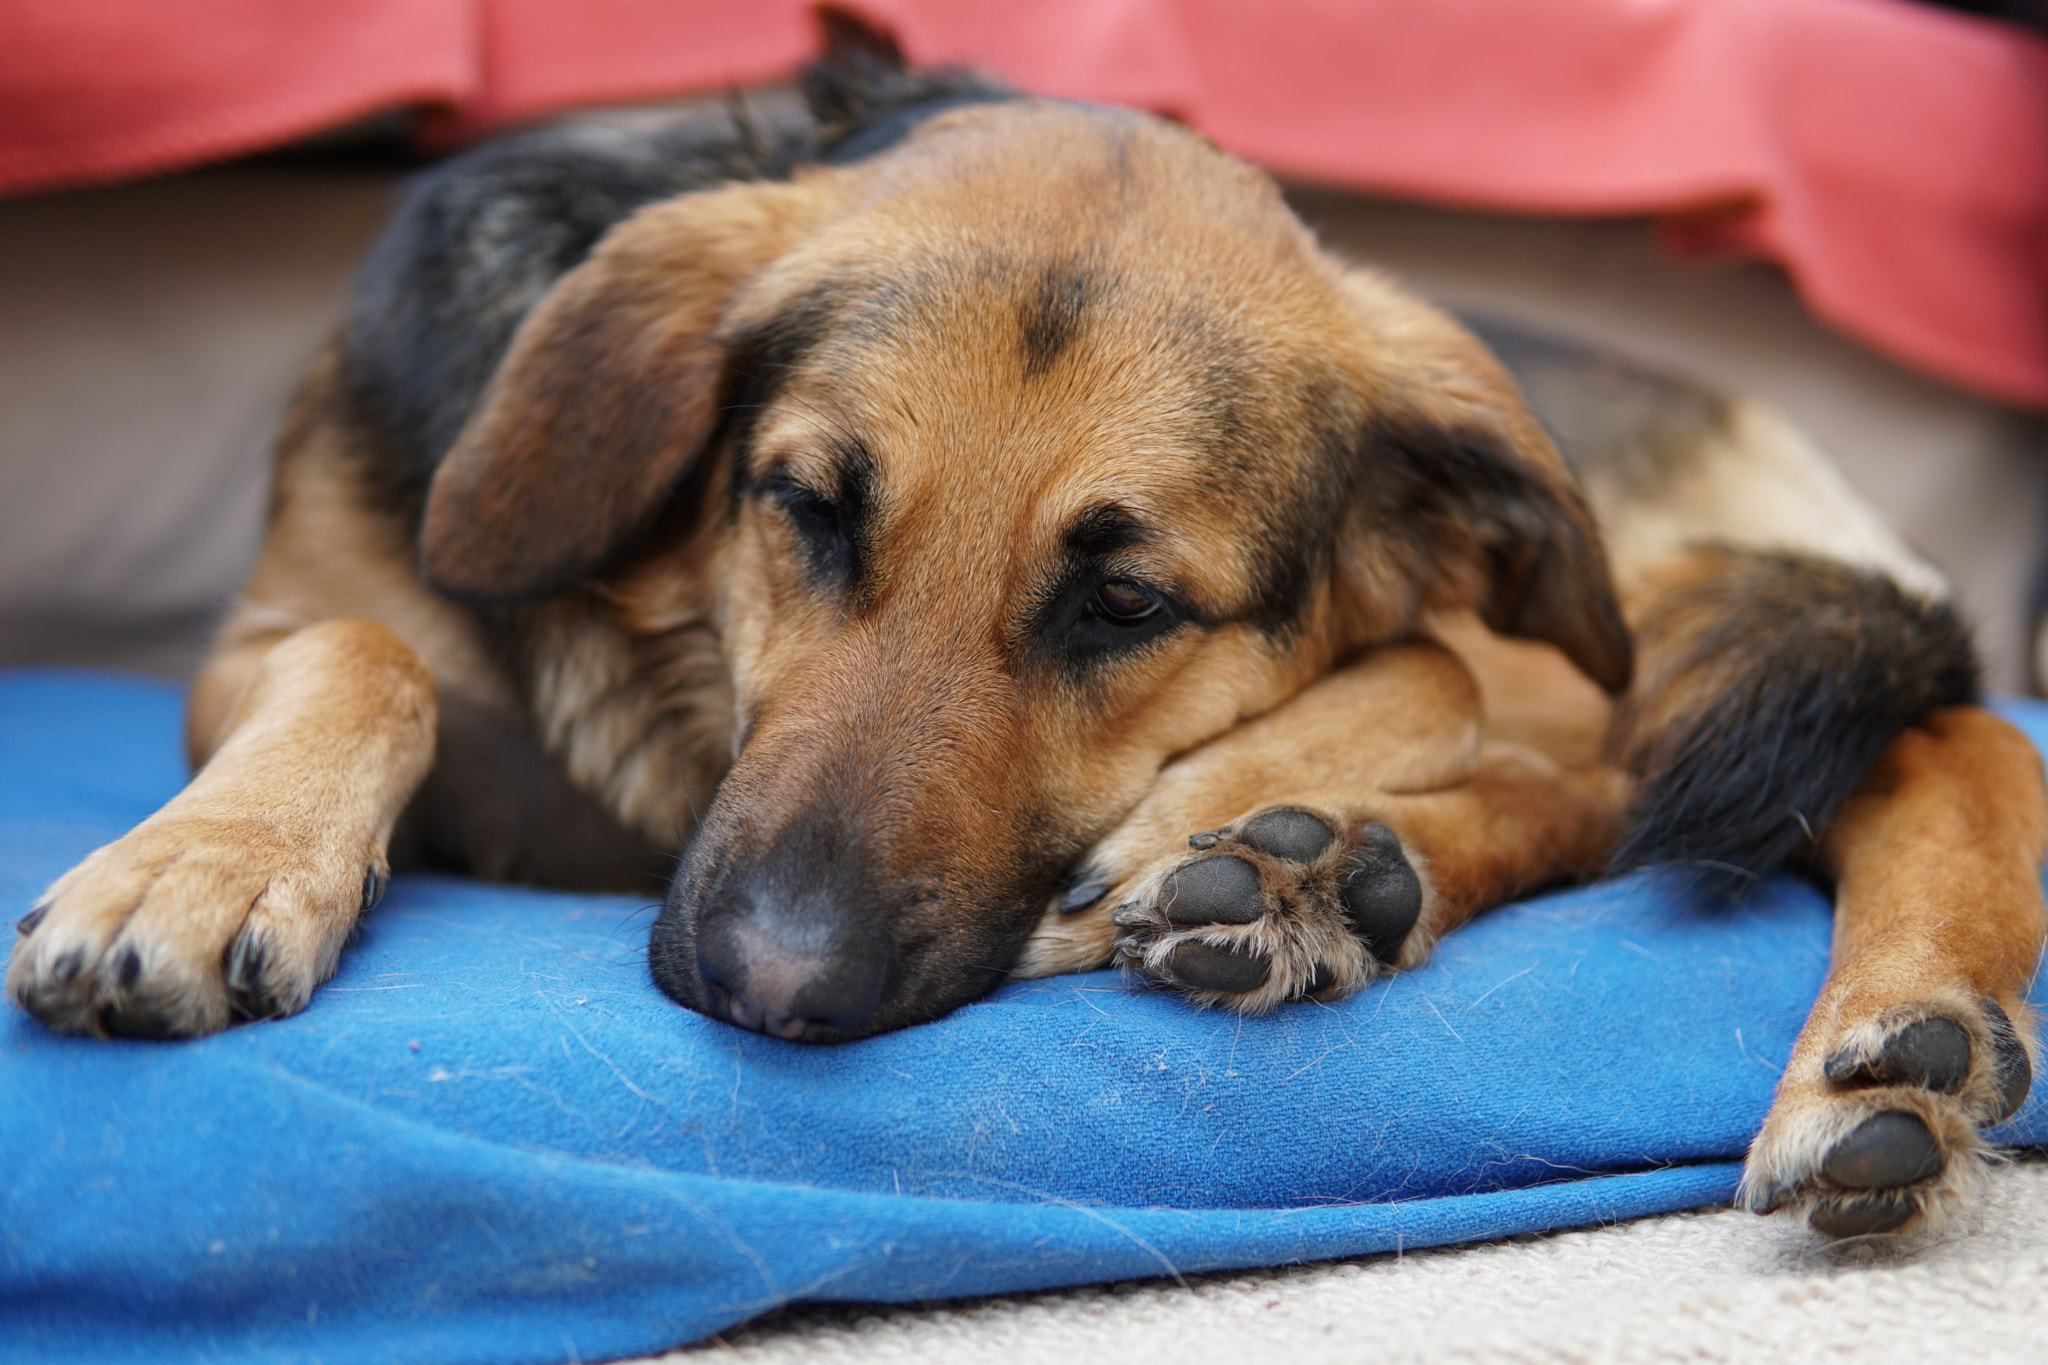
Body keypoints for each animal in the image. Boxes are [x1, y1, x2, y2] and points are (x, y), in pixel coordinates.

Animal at [8, 13, 2039, 1252]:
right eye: (808, 507)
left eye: (1123, 602)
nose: (773, 988)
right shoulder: (279, 622)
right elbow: (369, 656)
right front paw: (200, 864)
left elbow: (1432, 675)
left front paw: (1191, 828)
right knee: (1629, 780)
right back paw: (1328, 879)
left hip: (1619, 631)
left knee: (1892, 735)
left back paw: (1887, 1044)